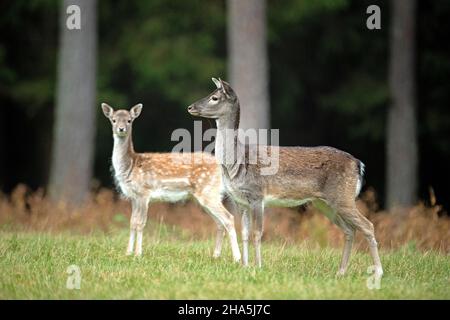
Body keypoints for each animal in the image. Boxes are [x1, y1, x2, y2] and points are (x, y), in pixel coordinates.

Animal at [101, 103, 241, 262]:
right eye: (113, 120)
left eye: (129, 120)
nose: (121, 129)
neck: (131, 165)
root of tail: (221, 167)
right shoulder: (133, 197)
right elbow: (132, 222)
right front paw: (128, 253)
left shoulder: (144, 192)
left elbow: (140, 223)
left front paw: (138, 254)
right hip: (207, 196)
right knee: (219, 222)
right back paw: (216, 255)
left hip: (208, 192)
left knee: (228, 218)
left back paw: (237, 259)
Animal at [186, 79, 384, 276]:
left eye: (214, 97)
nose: (190, 107)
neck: (237, 163)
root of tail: (358, 164)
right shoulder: (239, 200)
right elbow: (244, 232)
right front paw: (244, 266)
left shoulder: (258, 196)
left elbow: (257, 233)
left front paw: (258, 266)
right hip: (325, 203)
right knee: (350, 230)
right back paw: (341, 272)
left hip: (343, 196)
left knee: (367, 225)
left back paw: (378, 272)